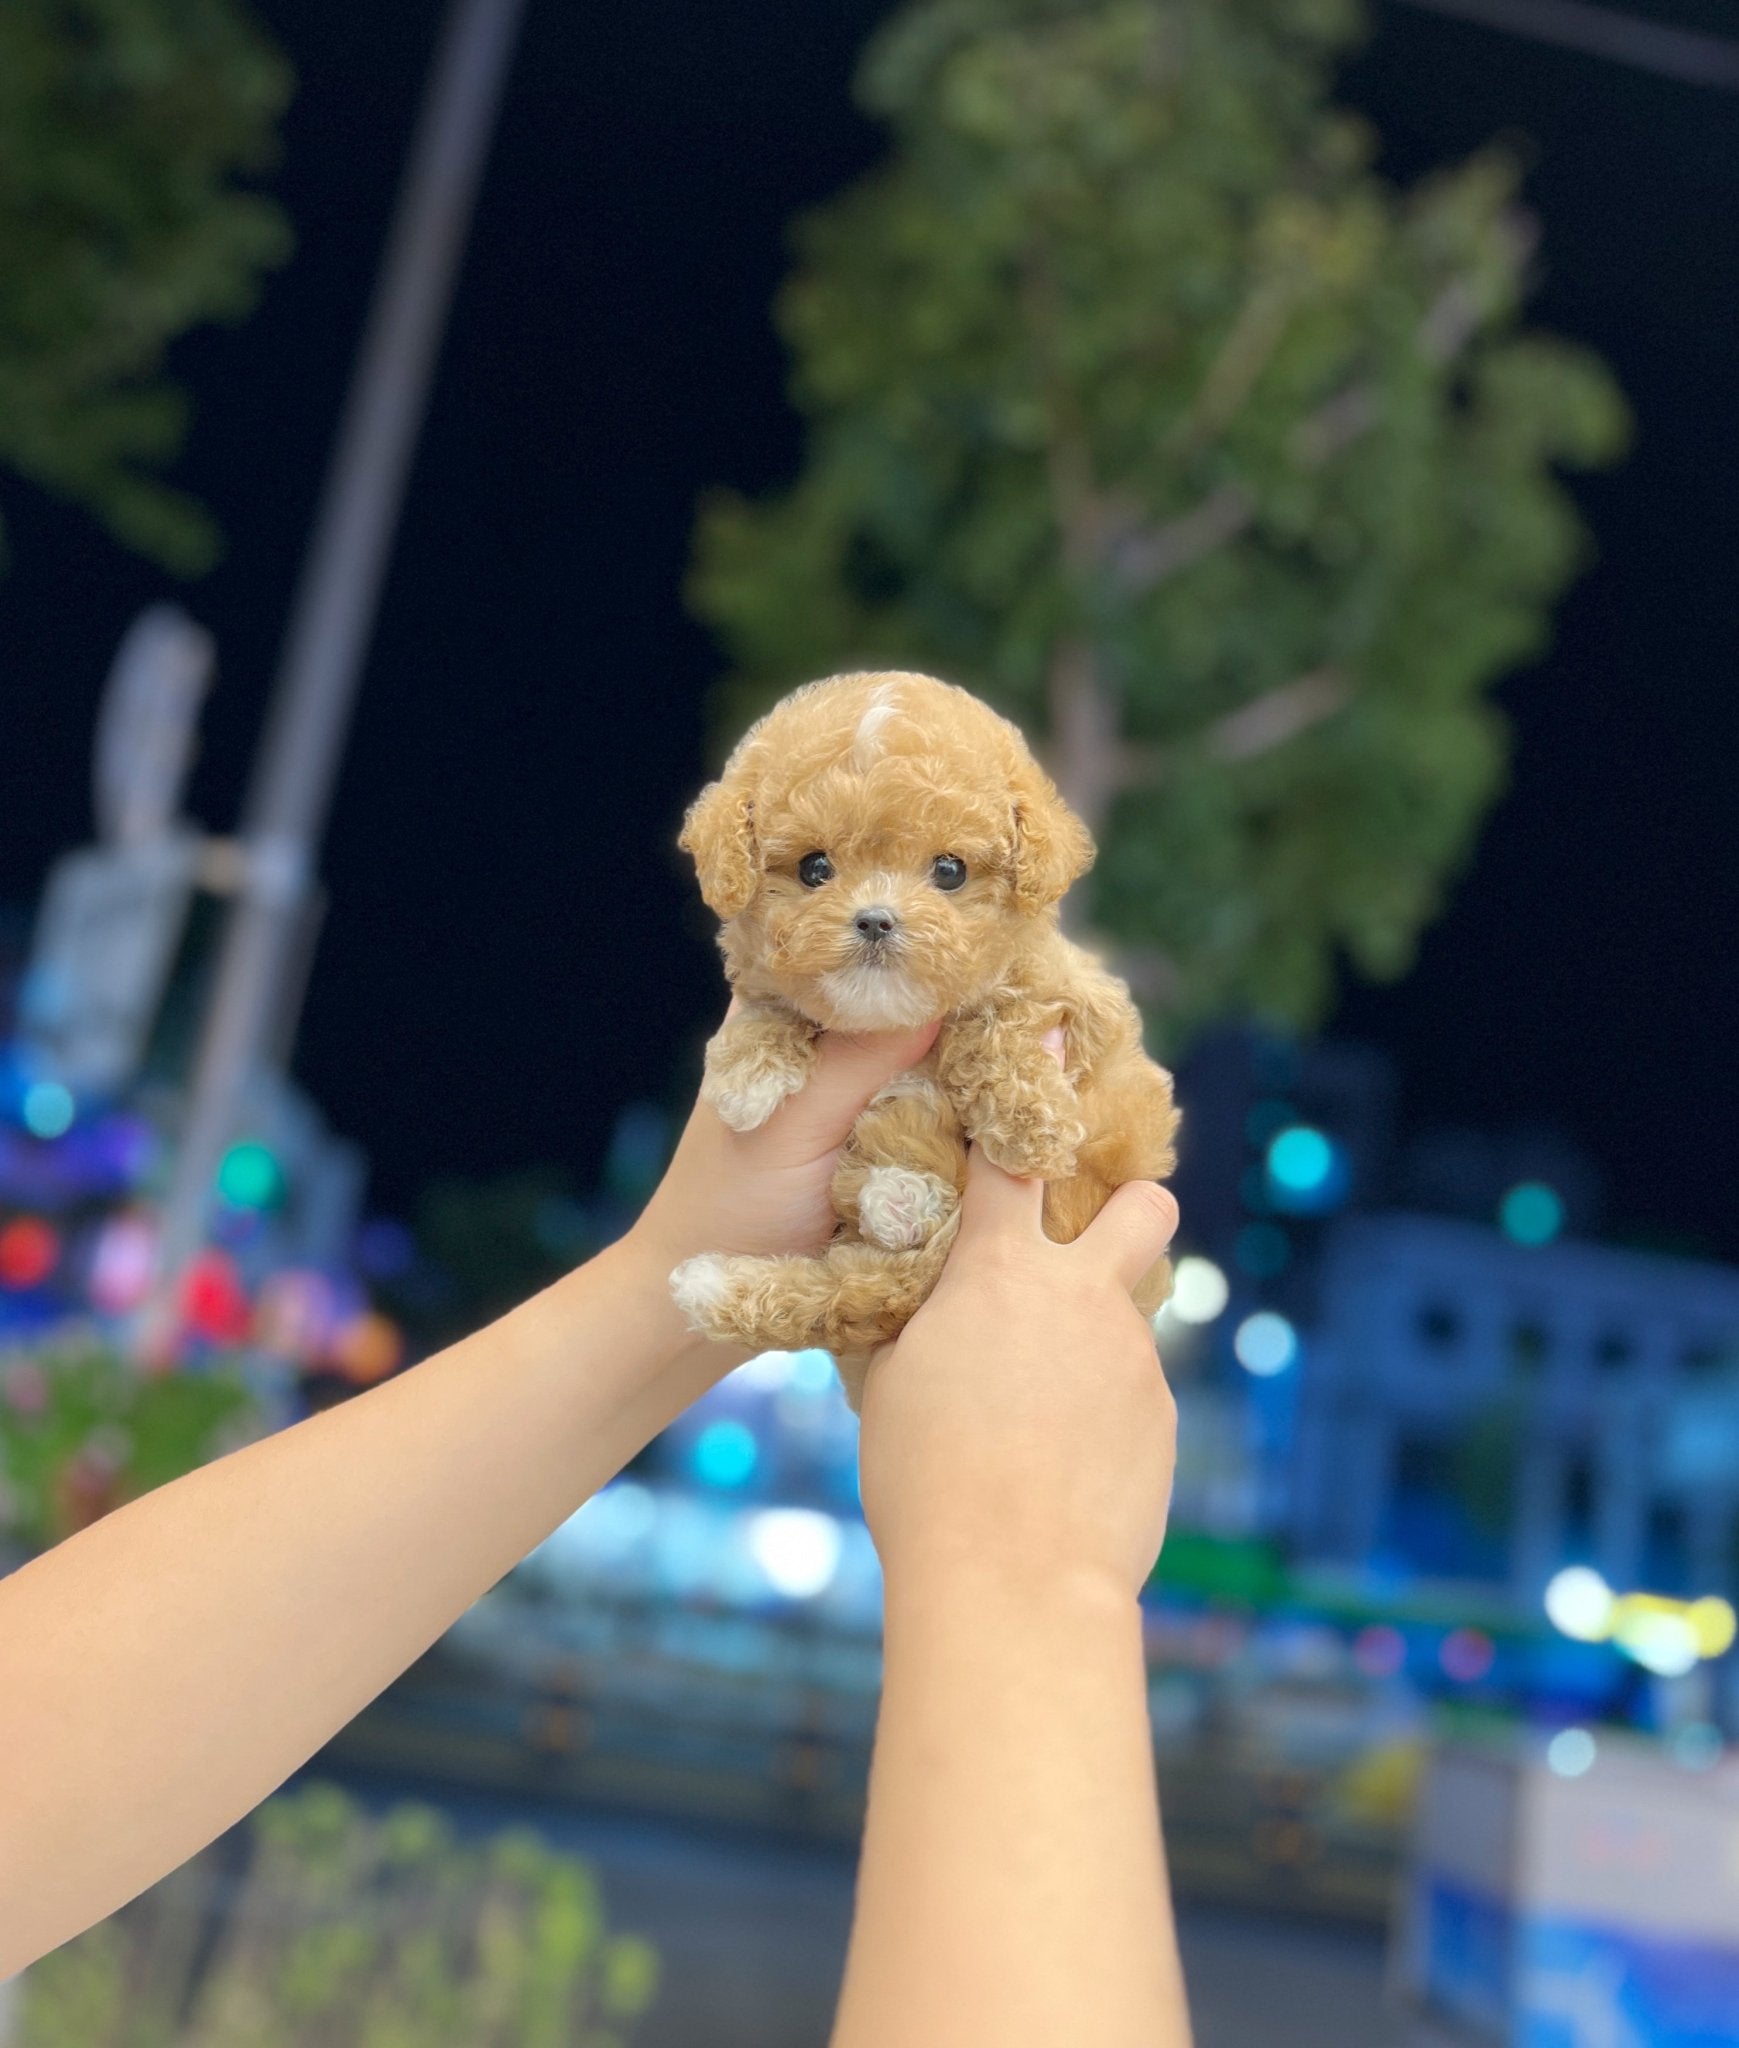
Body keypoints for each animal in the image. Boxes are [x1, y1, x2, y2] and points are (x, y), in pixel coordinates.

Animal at [663, 671, 1179, 1409]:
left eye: (950, 871)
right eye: (814, 868)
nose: (876, 920)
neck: (890, 1022)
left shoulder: (1075, 1002)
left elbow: (996, 1020)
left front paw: (1033, 1128)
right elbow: (770, 1004)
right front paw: (747, 1075)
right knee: (852, 1288)